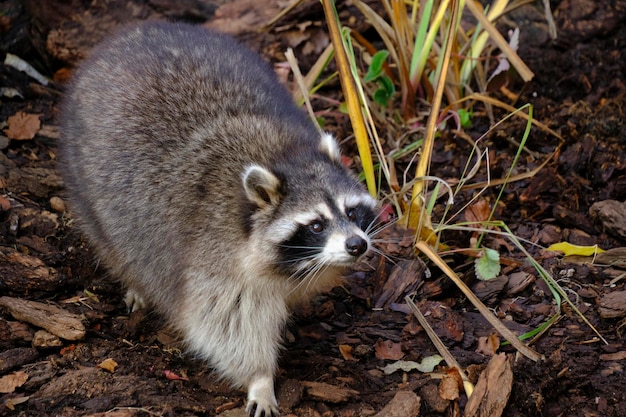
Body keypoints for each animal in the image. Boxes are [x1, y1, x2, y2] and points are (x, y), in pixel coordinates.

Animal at [59, 21, 376, 414]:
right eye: (316, 225)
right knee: (116, 244)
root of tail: (132, 32)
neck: (284, 156)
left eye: (351, 211)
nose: (357, 245)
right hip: (83, 181)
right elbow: (226, 325)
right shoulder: (215, 259)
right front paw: (260, 378)